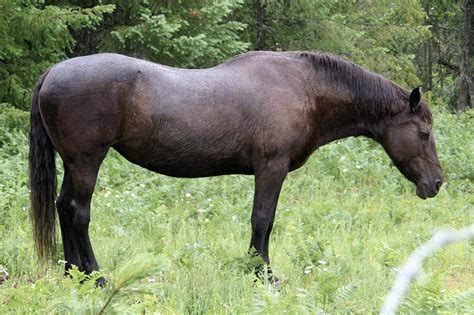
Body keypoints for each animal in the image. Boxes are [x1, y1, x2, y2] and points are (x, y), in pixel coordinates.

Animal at [28, 50, 444, 286]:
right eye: (424, 133)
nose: (437, 183)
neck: (306, 89)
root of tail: (53, 71)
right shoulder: (271, 168)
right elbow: (263, 220)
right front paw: (264, 275)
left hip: (75, 164)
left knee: (63, 208)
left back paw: (73, 274)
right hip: (87, 161)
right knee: (78, 212)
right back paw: (96, 277)